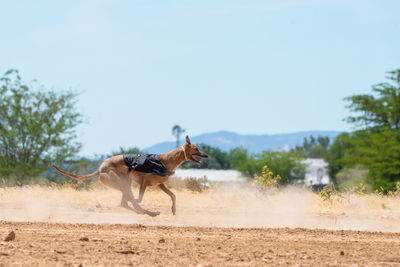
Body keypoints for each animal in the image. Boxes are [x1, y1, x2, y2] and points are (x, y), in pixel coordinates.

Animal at [52, 136, 208, 218]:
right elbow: (138, 199)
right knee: (130, 201)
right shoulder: (144, 182)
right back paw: (148, 212)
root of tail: (100, 168)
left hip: (125, 183)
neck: (165, 160)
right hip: (123, 182)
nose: (206, 155)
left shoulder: (159, 184)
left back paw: (147, 212)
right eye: (196, 148)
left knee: (125, 203)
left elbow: (173, 195)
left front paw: (174, 210)